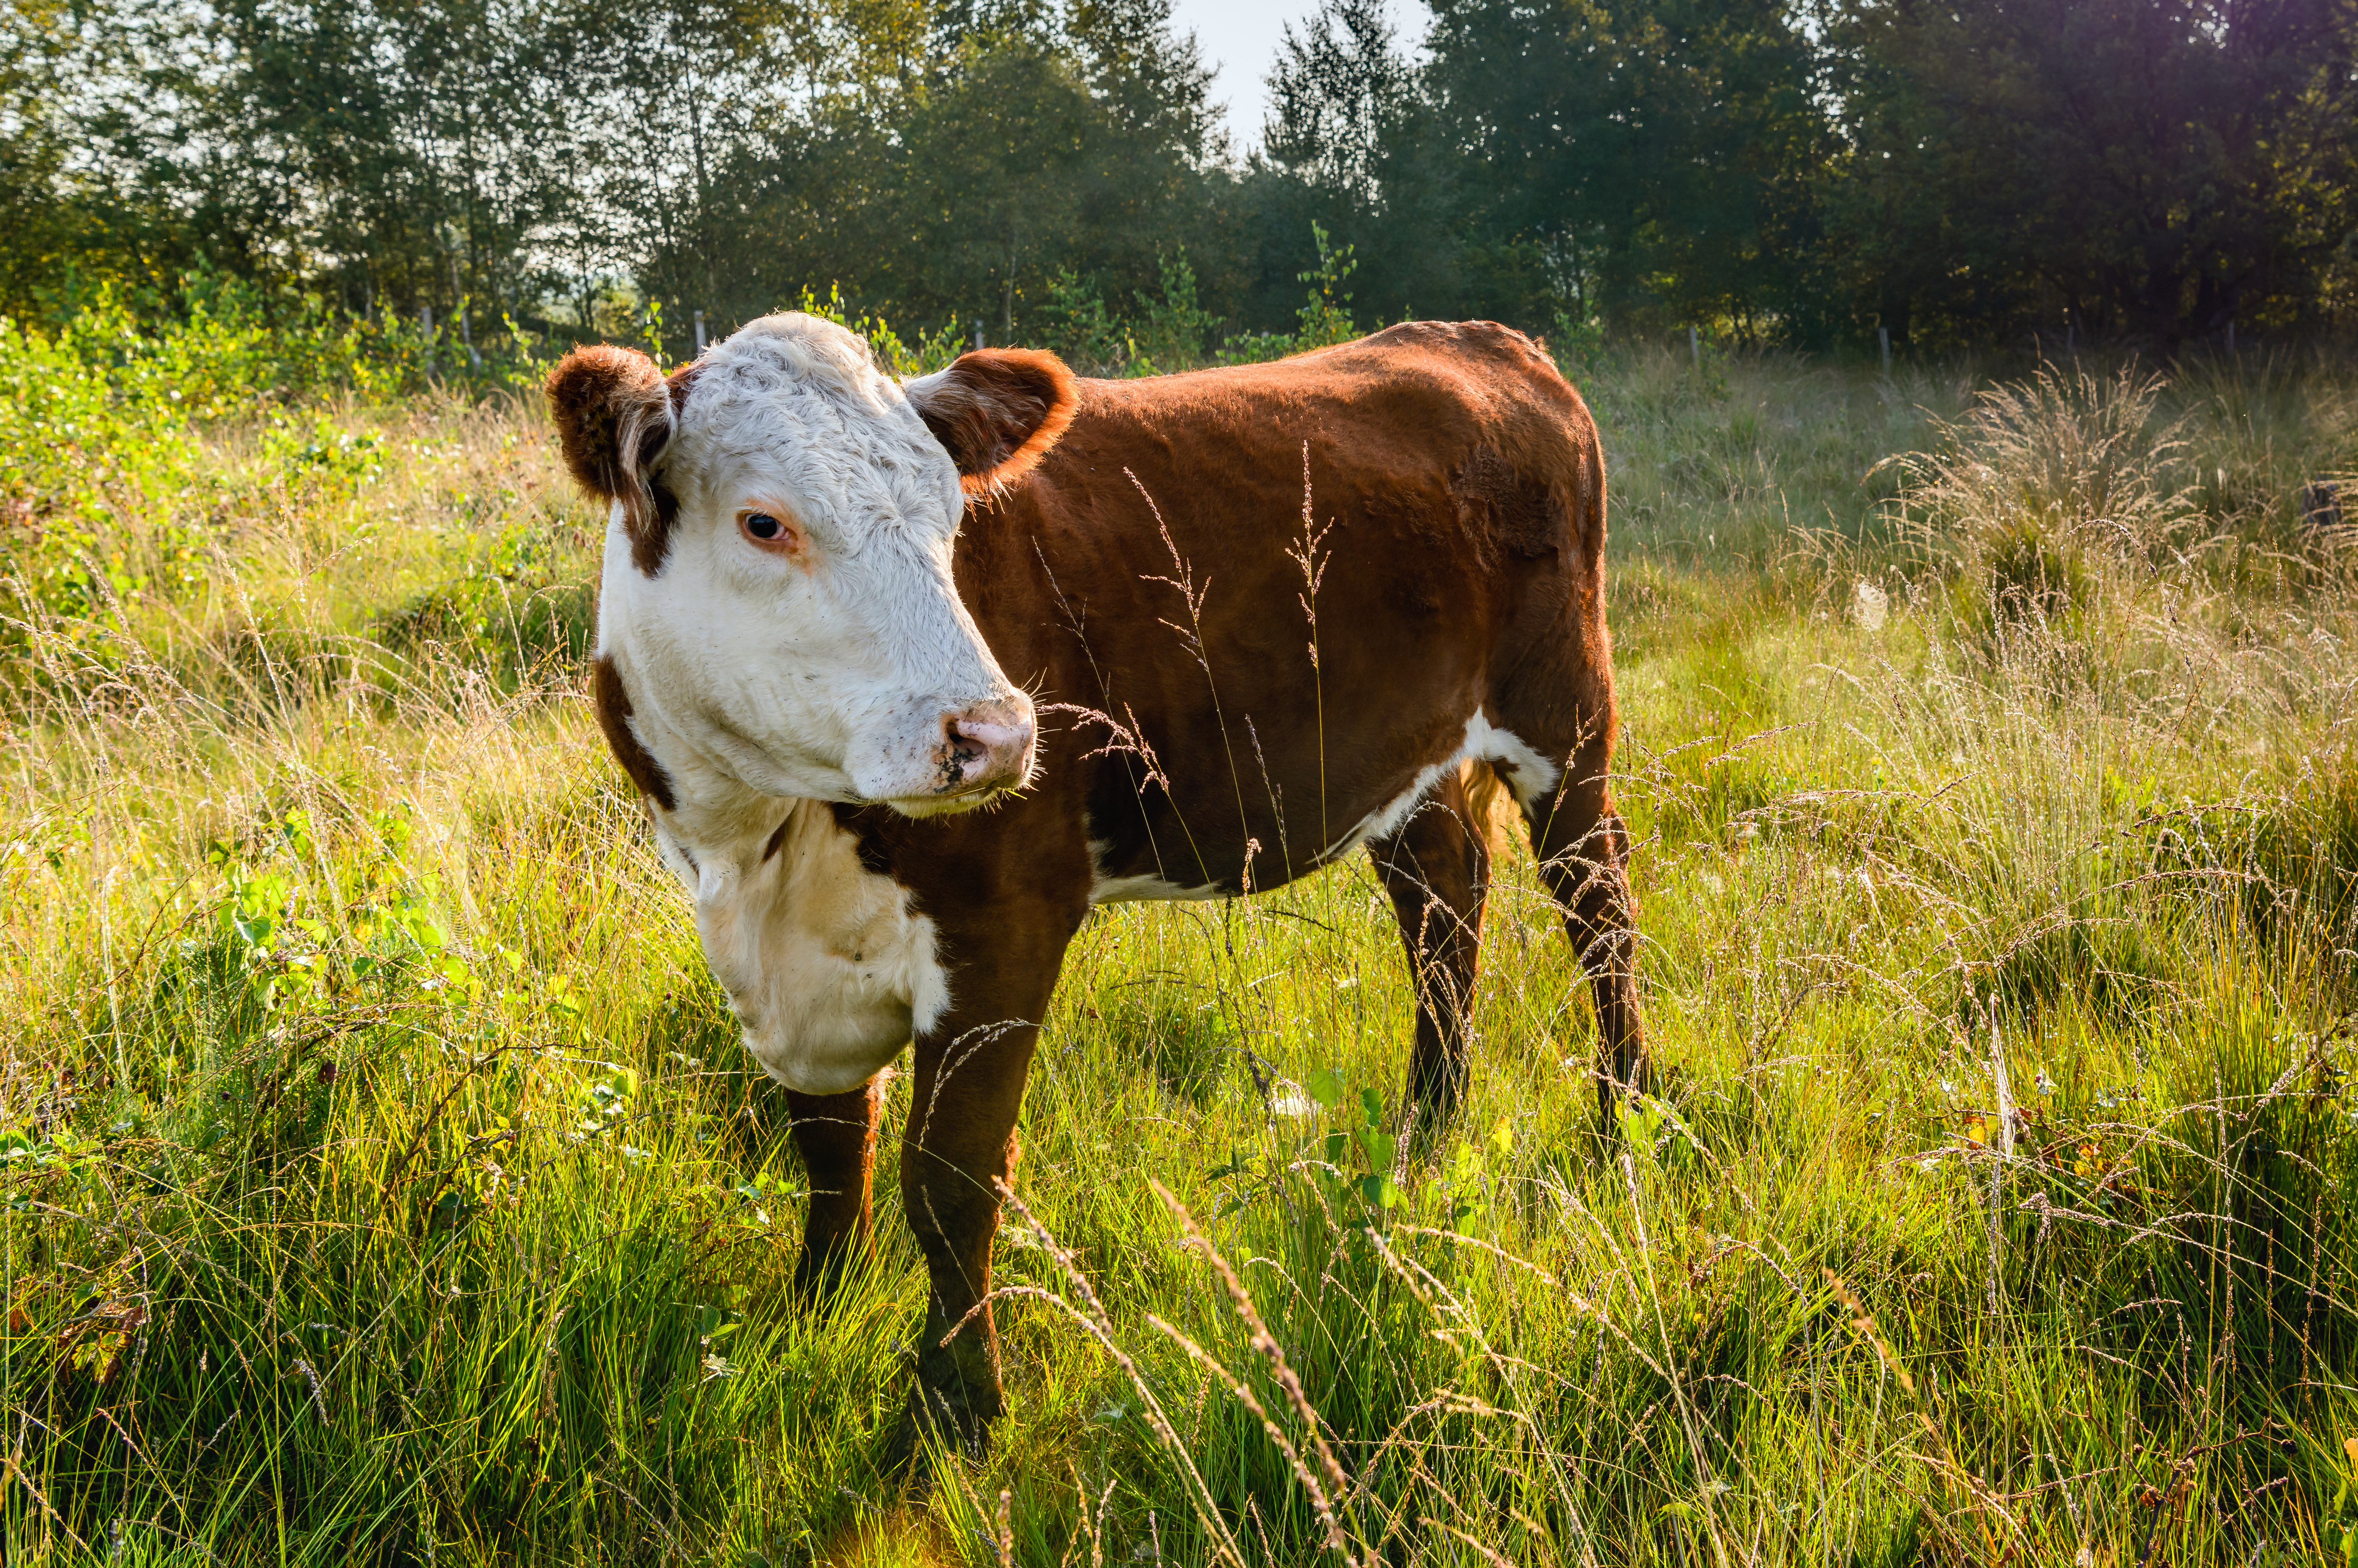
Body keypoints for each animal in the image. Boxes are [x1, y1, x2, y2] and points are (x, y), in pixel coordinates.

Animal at [544, 313, 1644, 1462]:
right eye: (763, 522)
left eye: (951, 519)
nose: (993, 734)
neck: (757, 850)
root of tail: (1480, 338)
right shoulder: (779, 972)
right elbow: (831, 1151)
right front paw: (814, 1309)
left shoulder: (1005, 919)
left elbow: (951, 1175)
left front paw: (957, 1407)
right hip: (1410, 758)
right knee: (1441, 909)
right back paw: (1427, 1129)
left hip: (1564, 711)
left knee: (1596, 903)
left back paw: (1619, 1123)